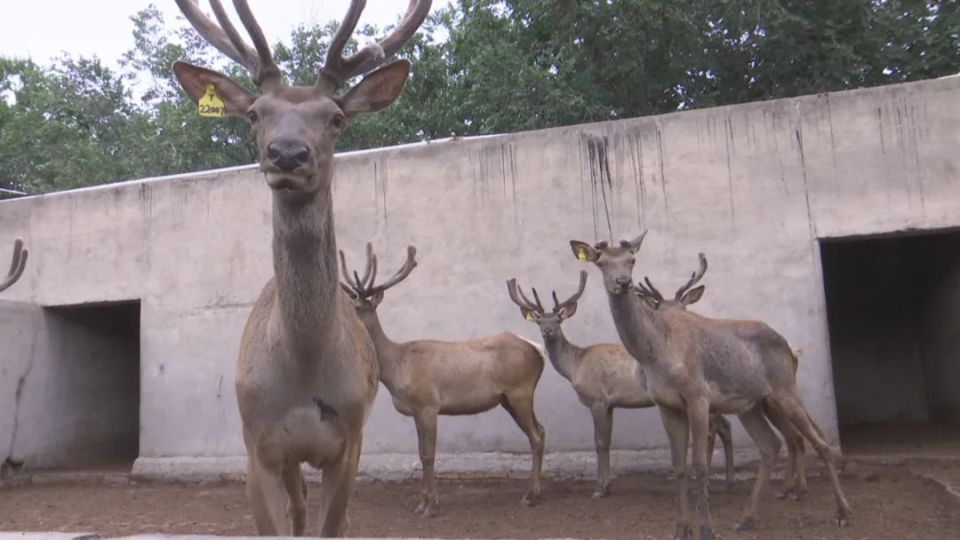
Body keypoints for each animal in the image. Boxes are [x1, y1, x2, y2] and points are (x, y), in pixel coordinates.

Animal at [171, 1, 432, 536]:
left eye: (336, 118)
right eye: (255, 113)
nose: (287, 153)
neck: (305, 368)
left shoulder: (348, 441)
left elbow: (334, 521)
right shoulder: (259, 446)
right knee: (298, 507)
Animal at [339, 243, 546, 517]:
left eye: (359, 309)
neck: (395, 368)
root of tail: (538, 350)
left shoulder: (428, 404)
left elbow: (428, 454)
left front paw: (431, 505)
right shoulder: (416, 410)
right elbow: (420, 453)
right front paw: (423, 503)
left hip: (520, 391)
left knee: (535, 435)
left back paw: (531, 496)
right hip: (508, 398)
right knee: (540, 430)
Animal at [505, 269, 736, 498]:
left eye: (557, 319)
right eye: (538, 321)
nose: (547, 331)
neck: (575, 366)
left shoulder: (597, 399)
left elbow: (599, 442)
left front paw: (599, 489)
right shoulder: (610, 404)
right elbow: (607, 442)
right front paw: (607, 485)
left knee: (713, 430)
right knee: (723, 427)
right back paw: (726, 482)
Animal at [635, 254, 810, 501]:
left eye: (684, 307)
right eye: (660, 309)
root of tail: (792, 350)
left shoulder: (701, 398)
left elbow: (708, 436)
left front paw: (704, 488)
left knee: (796, 434)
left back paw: (797, 486)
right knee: (793, 435)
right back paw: (789, 487)